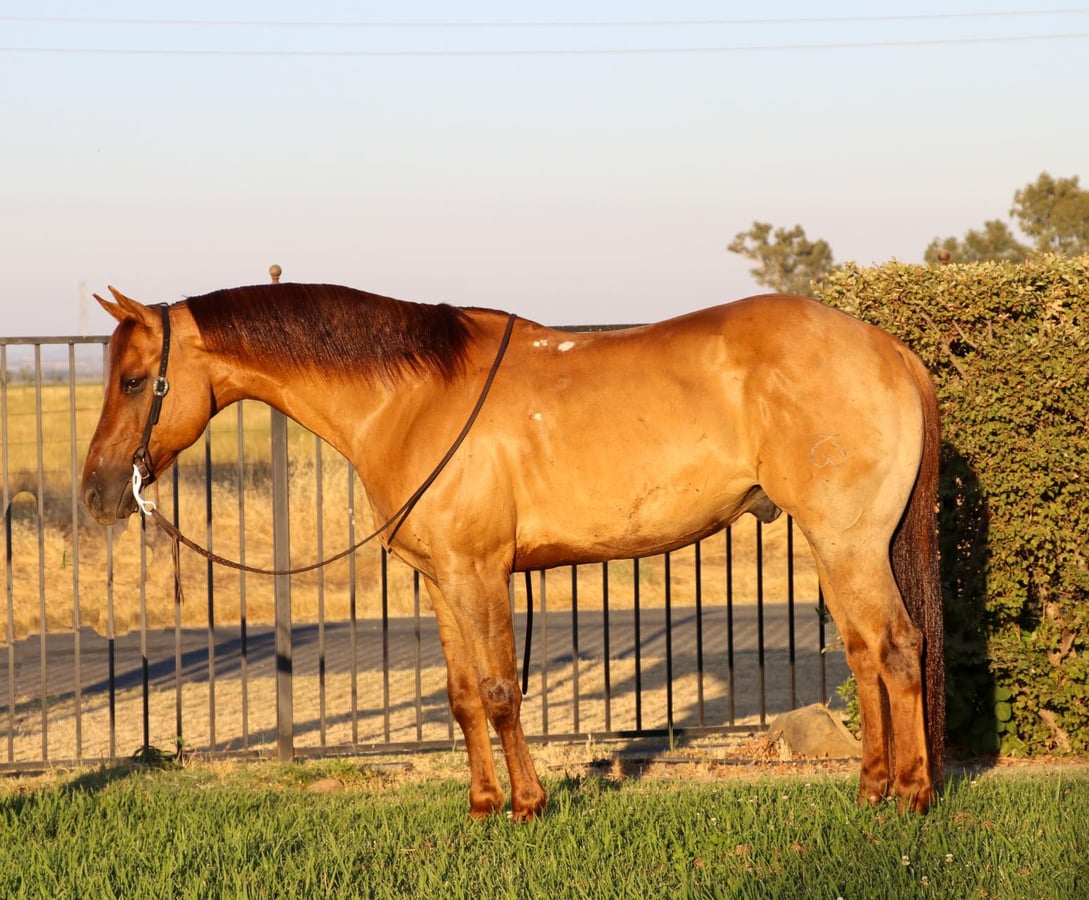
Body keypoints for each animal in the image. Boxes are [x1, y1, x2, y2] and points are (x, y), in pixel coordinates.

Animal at [81, 282, 944, 818]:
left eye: (134, 380)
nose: (96, 493)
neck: (414, 398)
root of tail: (886, 348)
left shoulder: (480, 573)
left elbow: (500, 691)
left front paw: (527, 806)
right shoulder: (441, 581)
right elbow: (464, 696)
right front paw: (482, 805)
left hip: (849, 540)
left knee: (897, 647)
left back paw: (912, 795)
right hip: (835, 544)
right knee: (864, 653)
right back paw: (870, 788)